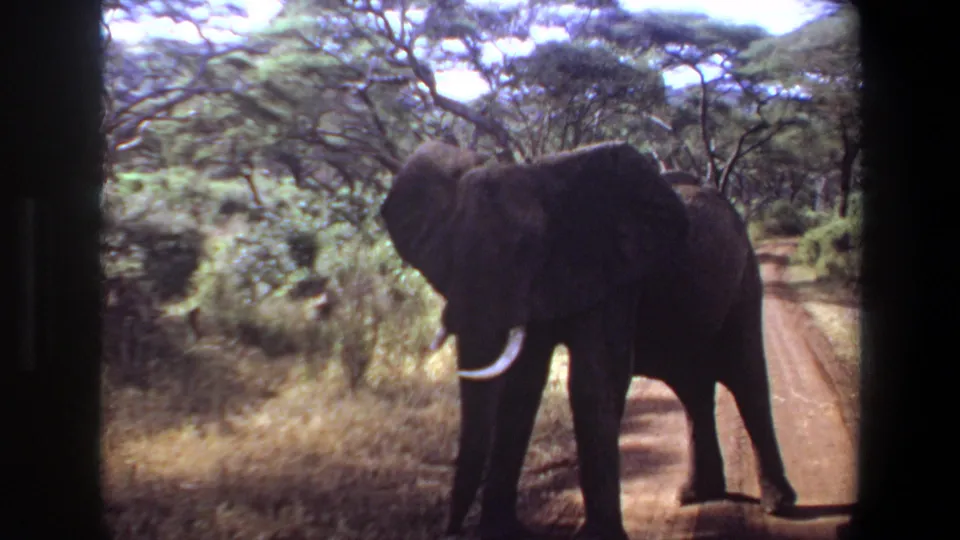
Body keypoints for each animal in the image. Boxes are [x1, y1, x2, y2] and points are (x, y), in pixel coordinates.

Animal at [378, 140, 797, 540]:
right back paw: (697, 495)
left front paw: (597, 536)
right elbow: (521, 388)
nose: (451, 530)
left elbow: (593, 382)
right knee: (693, 389)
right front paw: (500, 532)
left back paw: (778, 506)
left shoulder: (613, 275)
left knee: (747, 379)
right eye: (447, 254)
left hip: (745, 277)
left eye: (525, 249)